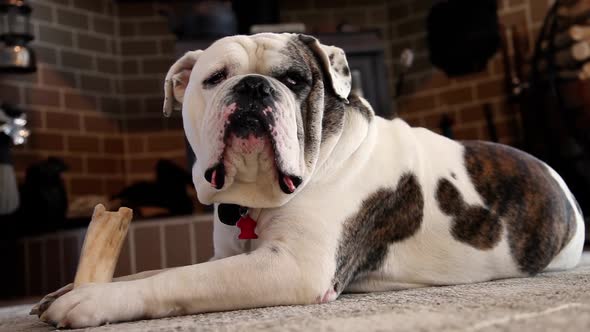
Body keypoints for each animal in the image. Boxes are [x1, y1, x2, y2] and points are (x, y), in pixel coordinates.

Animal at [37, 32, 588, 328]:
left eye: (295, 80)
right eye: (215, 79)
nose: (254, 87)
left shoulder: (293, 267)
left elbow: (178, 280)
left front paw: (94, 300)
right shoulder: (227, 256)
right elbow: (156, 270)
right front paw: (69, 289)